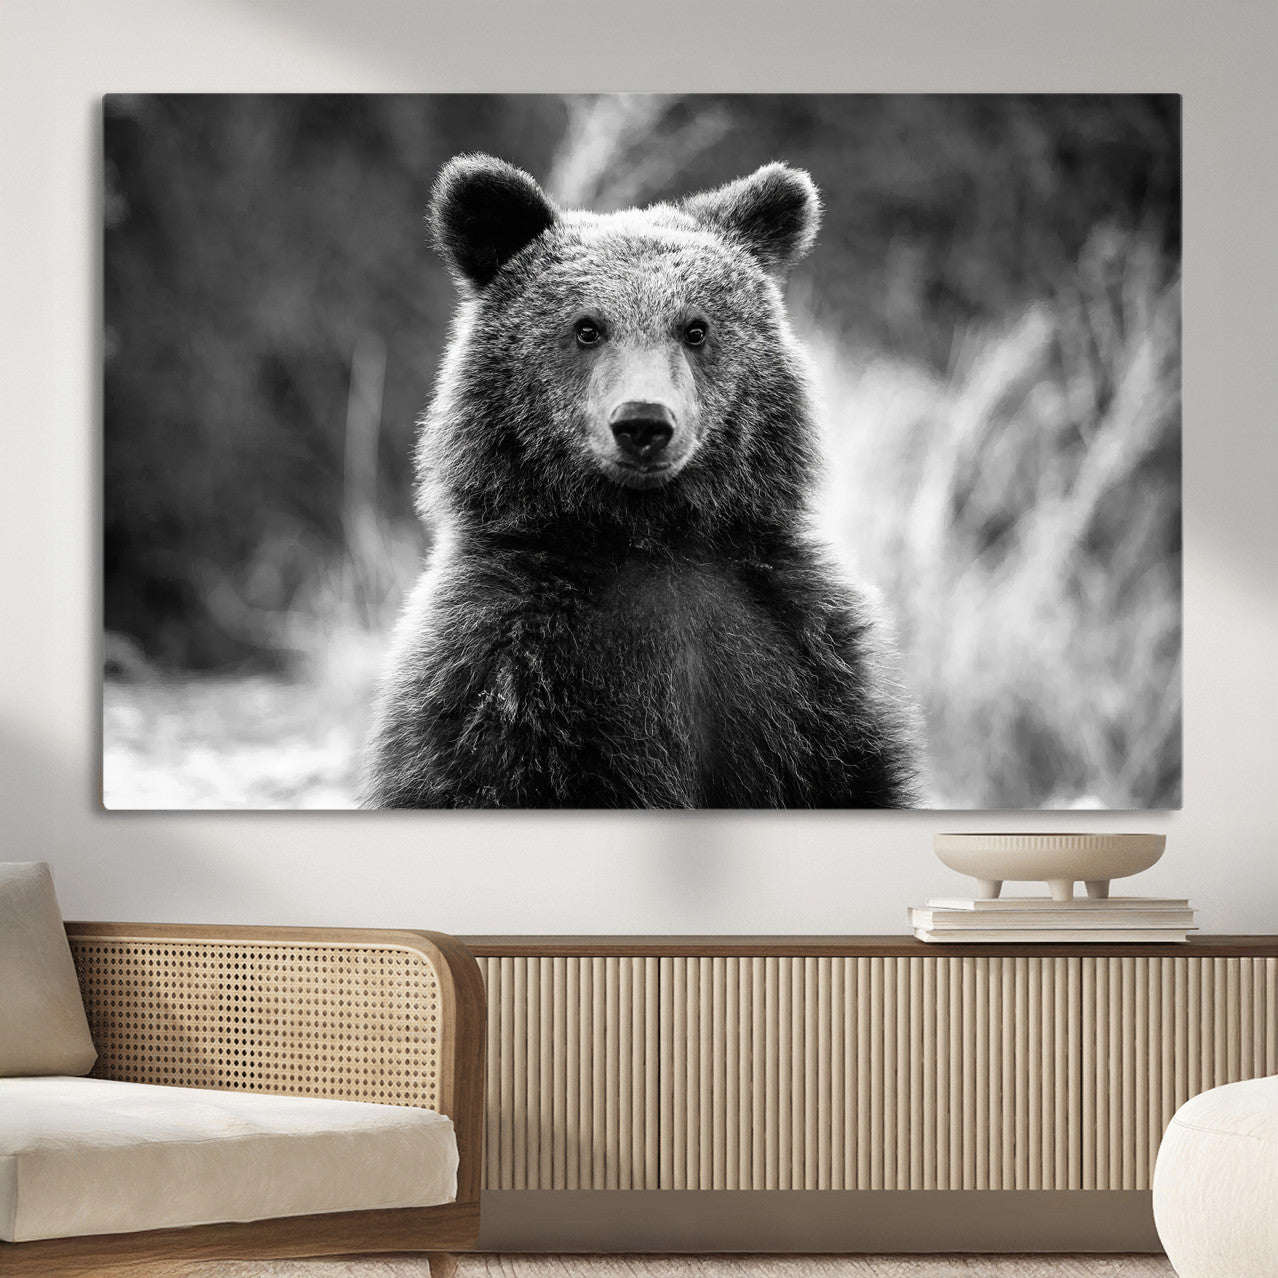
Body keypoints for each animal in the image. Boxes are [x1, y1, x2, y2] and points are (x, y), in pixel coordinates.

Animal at [362, 153, 921, 809]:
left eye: (695, 328)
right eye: (586, 328)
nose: (643, 423)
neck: (649, 538)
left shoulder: (803, 662)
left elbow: (852, 773)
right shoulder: (502, 672)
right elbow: (477, 773)